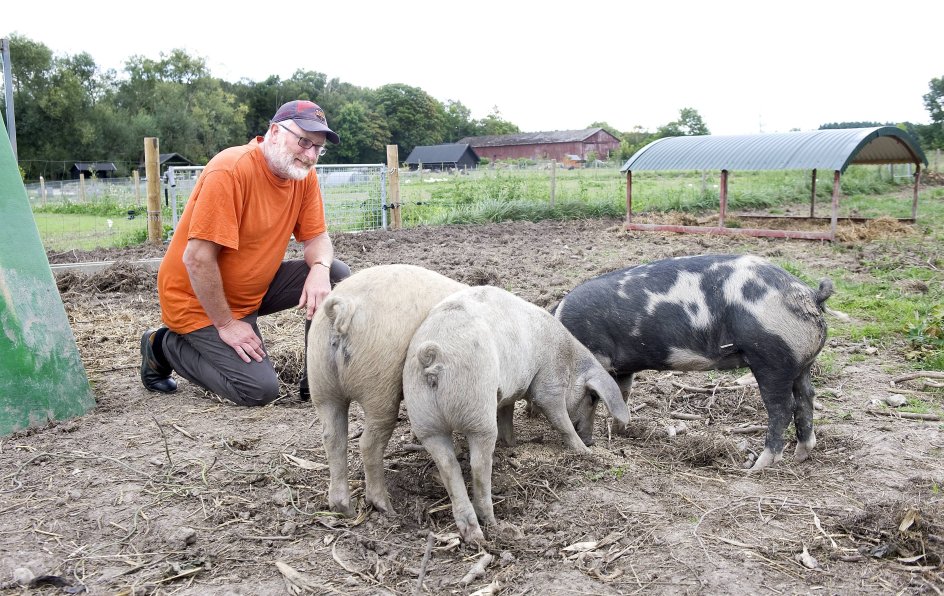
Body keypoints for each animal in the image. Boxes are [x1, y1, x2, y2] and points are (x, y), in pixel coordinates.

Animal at [552, 251, 832, 470]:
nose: (588, 441)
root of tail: (810, 294)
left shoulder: (599, 356)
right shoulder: (622, 368)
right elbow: (622, 393)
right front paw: (622, 431)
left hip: (772, 358)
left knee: (783, 408)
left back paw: (756, 467)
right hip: (801, 362)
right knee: (807, 396)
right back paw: (800, 456)